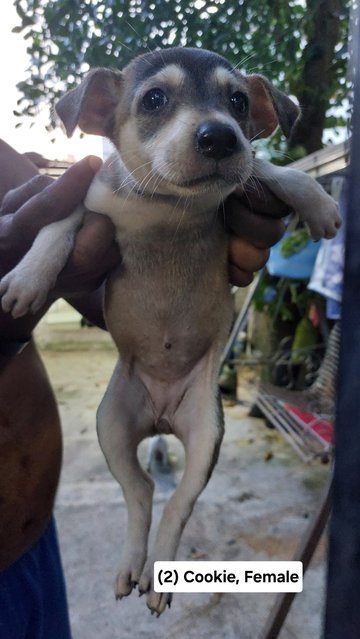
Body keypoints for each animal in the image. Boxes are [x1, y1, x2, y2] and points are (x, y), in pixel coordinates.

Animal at [0, 46, 340, 616]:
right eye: (155, 99)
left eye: (238, 102)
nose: (221, 137)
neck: (165, 205)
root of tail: (161, 417)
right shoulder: (86, 200)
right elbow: (56, 225)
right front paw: (28, 277)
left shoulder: (237, 184)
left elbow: (265, 167)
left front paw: (317, 200)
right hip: (113, 425)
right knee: (140, 491)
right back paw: (131, 567)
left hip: (205, 432)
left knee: (177, 500)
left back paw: (156, 578)